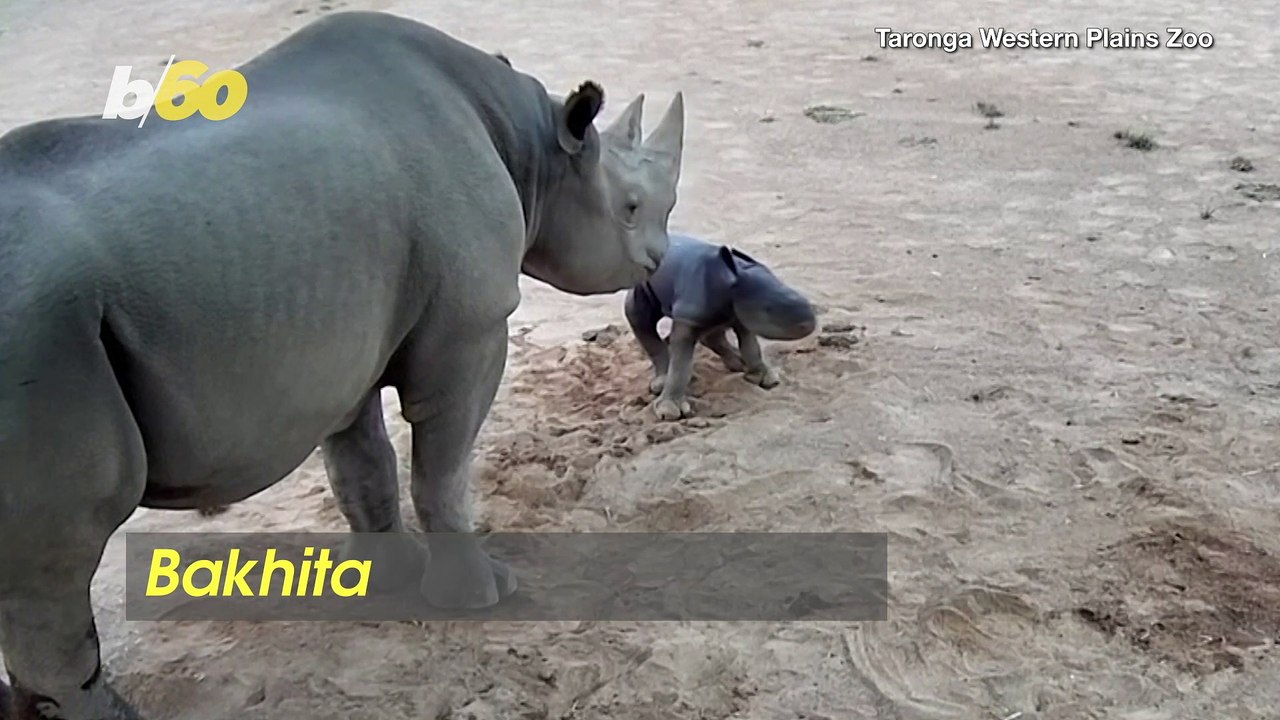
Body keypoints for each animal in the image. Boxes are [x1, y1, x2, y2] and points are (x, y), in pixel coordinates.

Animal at [0, 11, 685, 719]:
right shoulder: (469, 332)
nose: (660, 258)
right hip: (42, 333)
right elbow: (442, 472)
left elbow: (363, 467)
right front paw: (482, 595)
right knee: (58, 562)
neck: (537, 148)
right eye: (632, 206)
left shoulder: (341, 341)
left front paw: (383, 581)